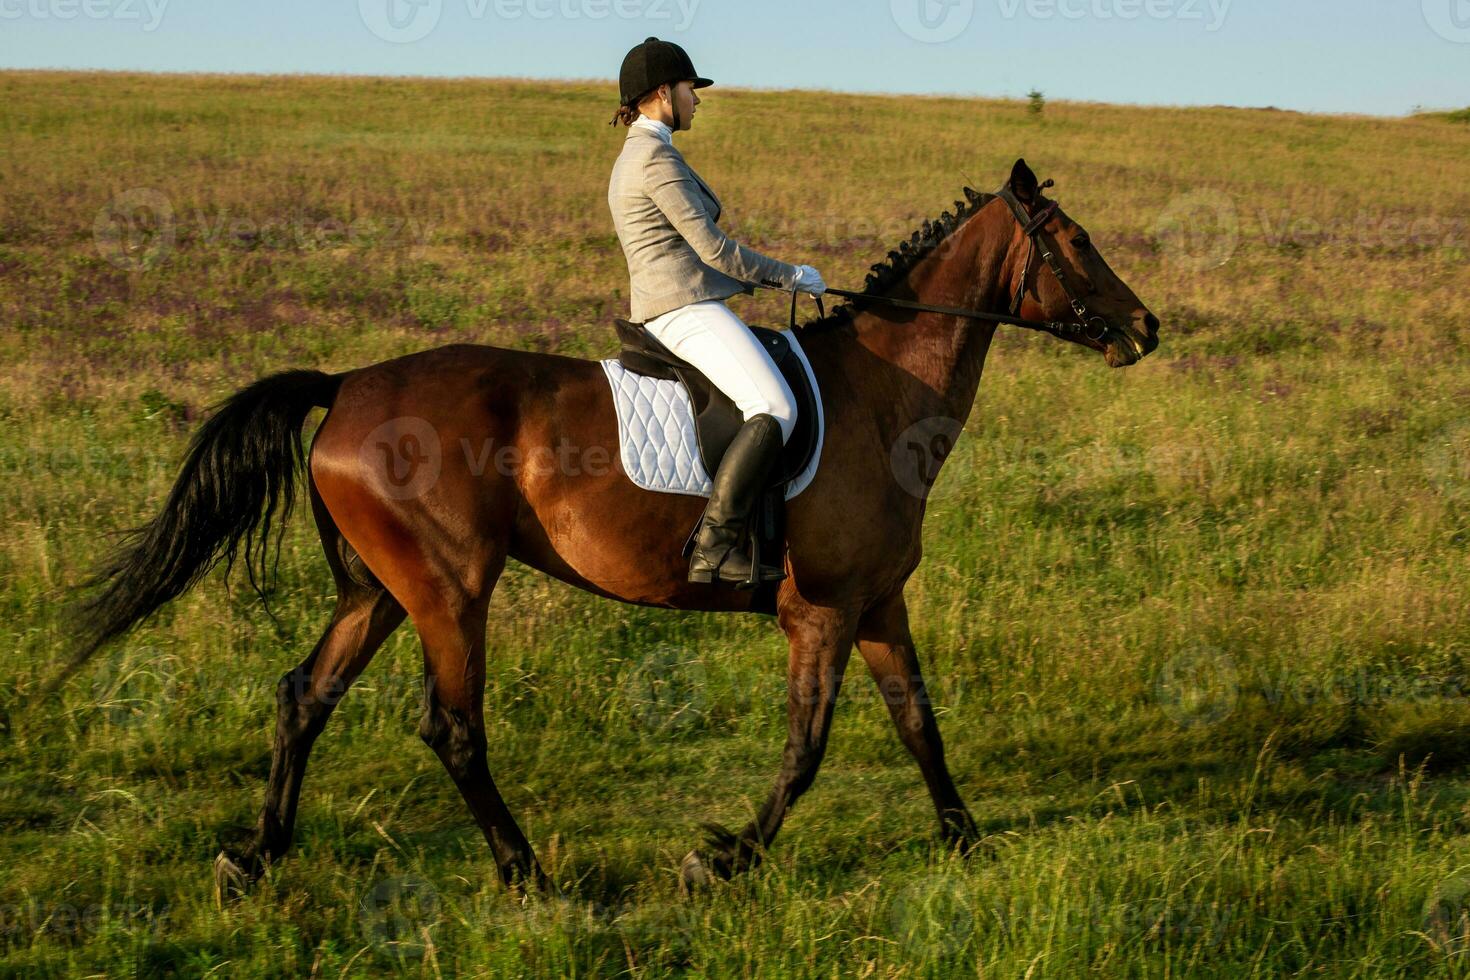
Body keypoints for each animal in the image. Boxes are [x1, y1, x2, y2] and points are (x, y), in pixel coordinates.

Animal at [57, 159, 1158, 899]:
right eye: (1076, 241)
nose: (1146, 330)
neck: (885, 396)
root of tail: (349, 383)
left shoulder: (876, 601)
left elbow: (919, 722)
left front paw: (968, 839)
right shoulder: (822, 611)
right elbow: (807, 747)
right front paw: (723, 858)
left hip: (379, 591)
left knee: (303, 696)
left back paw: (255, 855)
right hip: (450, 590)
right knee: (452, 726)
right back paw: (527, 874)